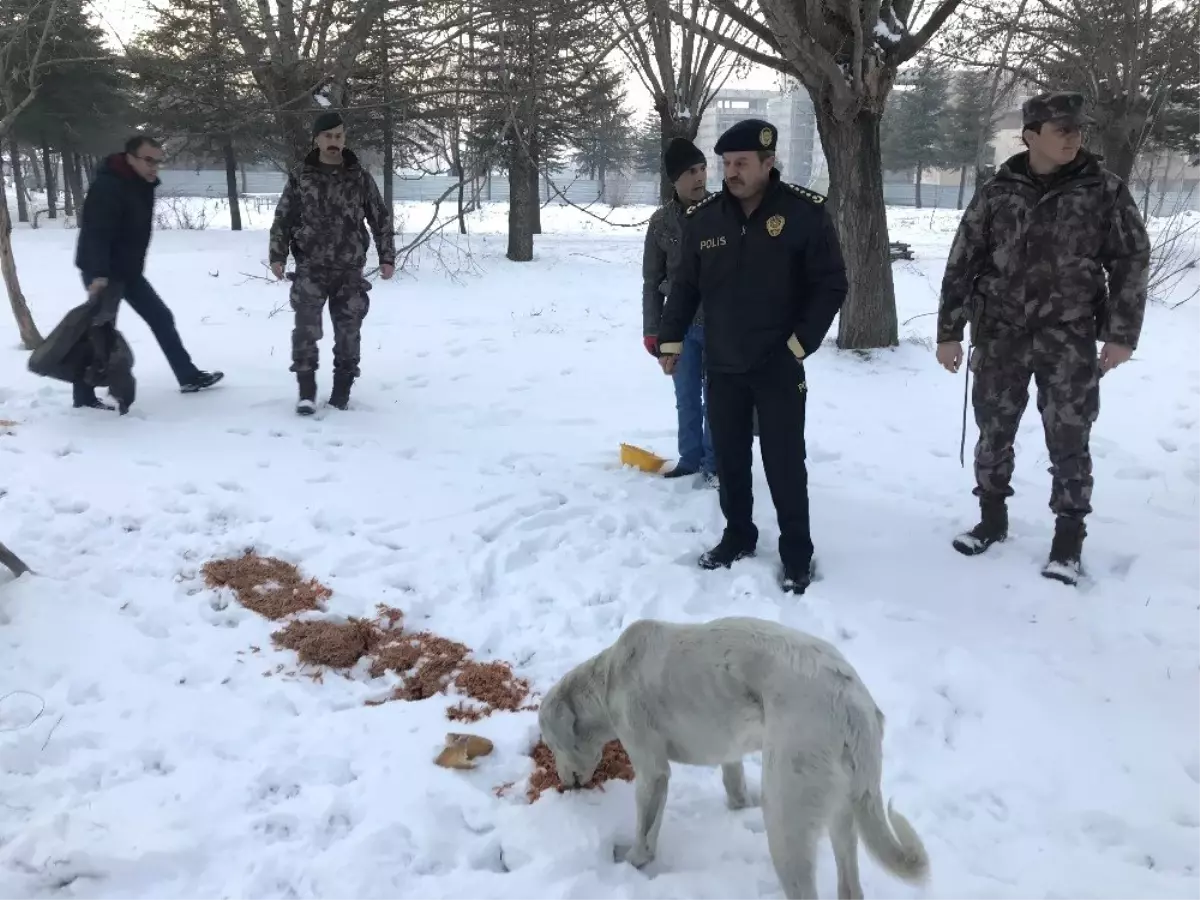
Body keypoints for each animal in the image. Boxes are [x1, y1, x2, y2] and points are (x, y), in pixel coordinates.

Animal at [540, 619, 931, 900]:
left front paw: (633, 859)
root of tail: (853, 704)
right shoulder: (729, 749)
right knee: (849, 887)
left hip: (786, 820)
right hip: (843, 814)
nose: (562, 782)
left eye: (550, 743)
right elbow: (734, 783)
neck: (608, 679)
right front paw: (740, 805)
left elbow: (645, 833)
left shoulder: (652, 771)